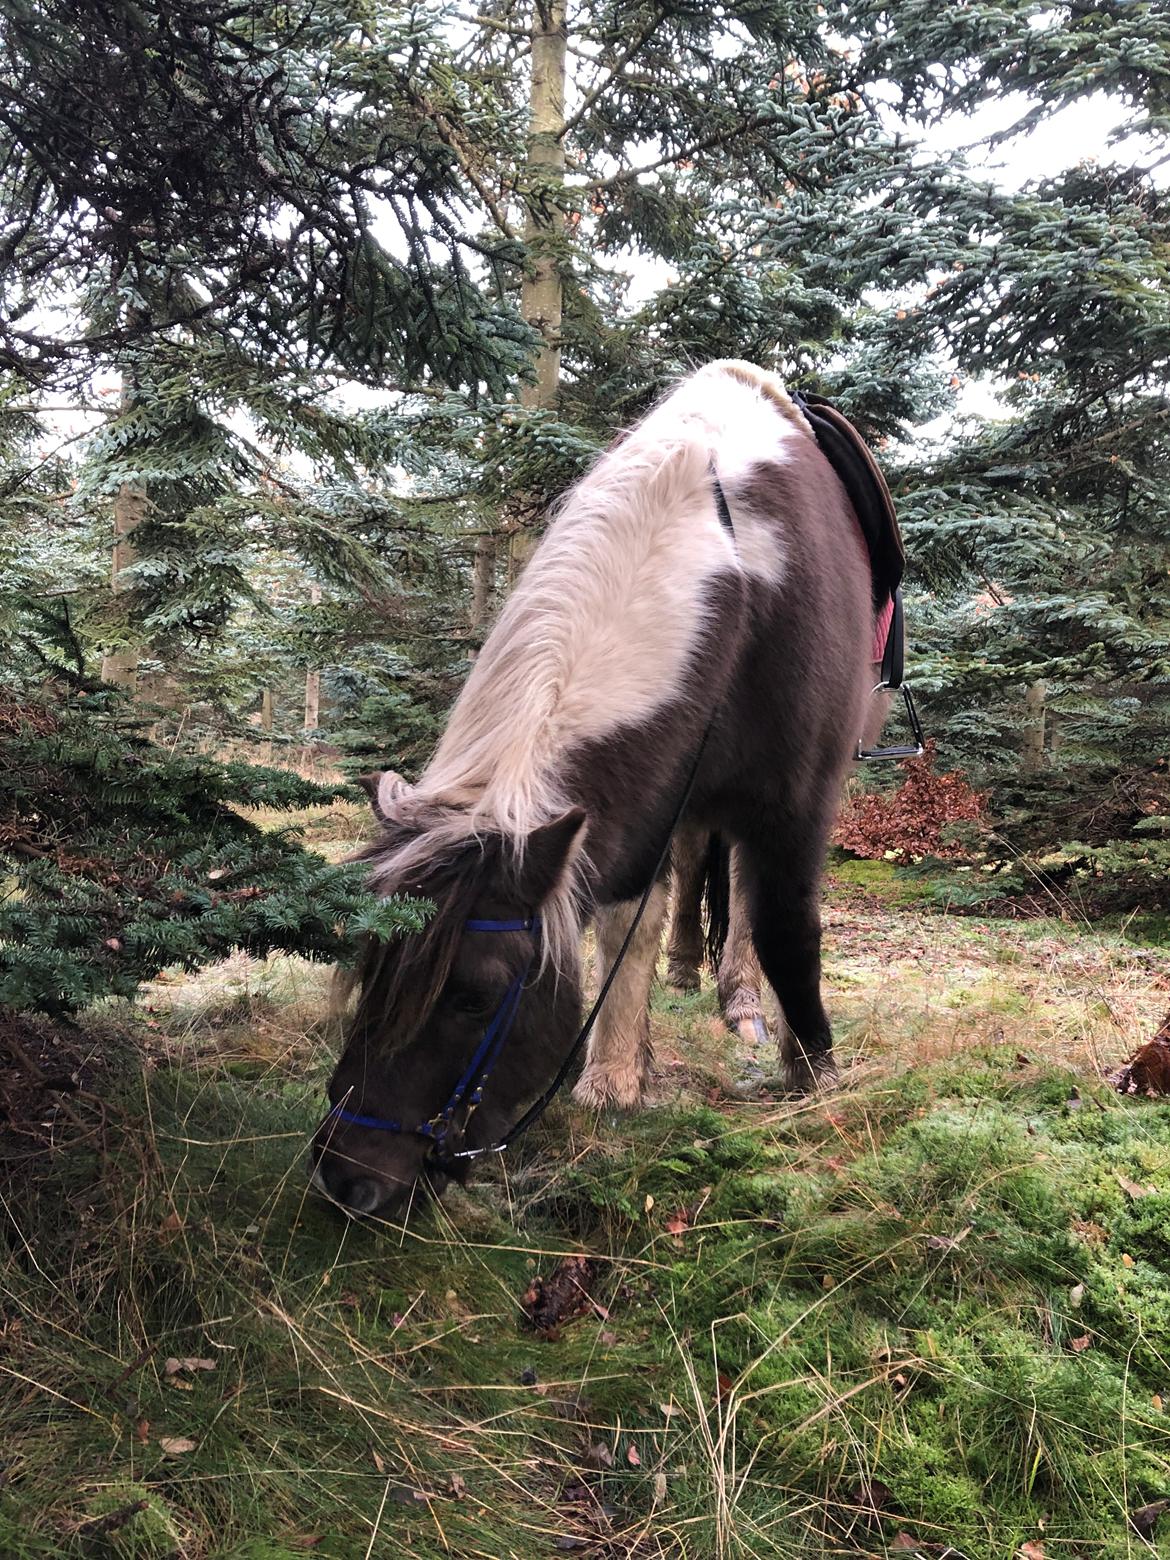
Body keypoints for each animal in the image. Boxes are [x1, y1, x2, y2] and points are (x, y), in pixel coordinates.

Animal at [316, 358, 886, 1210]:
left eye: (473, 997)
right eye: (367, 966)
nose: (343, 1177)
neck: (748, 587)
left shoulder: (802, 800)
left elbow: (788, 926)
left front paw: (812, 1069)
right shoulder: (644, 798)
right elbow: (627, 923)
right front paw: (618, 1073)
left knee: (744, 888)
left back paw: (743, 1003)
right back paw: (687, 968)